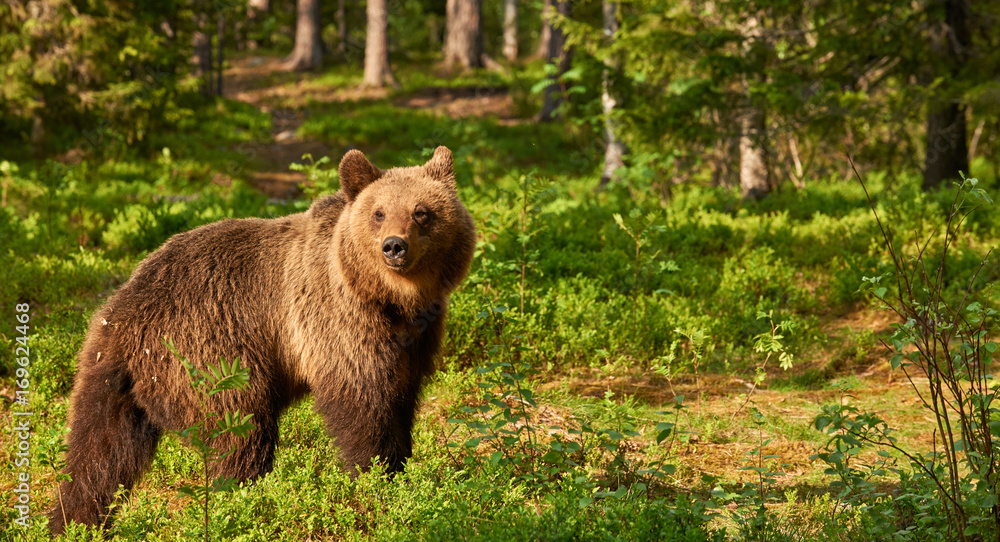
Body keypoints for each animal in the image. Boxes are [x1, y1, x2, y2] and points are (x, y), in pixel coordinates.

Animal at [48, 148, 478, 536]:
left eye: (421, 211)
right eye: (379, 213)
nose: (394, 245)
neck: (392, 299)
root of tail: (122, 311)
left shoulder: (415, 339)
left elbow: (402, 398)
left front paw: (401, 469)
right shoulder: (337, 323)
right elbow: (362, 405)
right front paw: (375, 475)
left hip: (108, 374)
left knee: (98, 451)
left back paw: (72, 522)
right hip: (212, 350)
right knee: (241, 430)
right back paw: (245, 499)